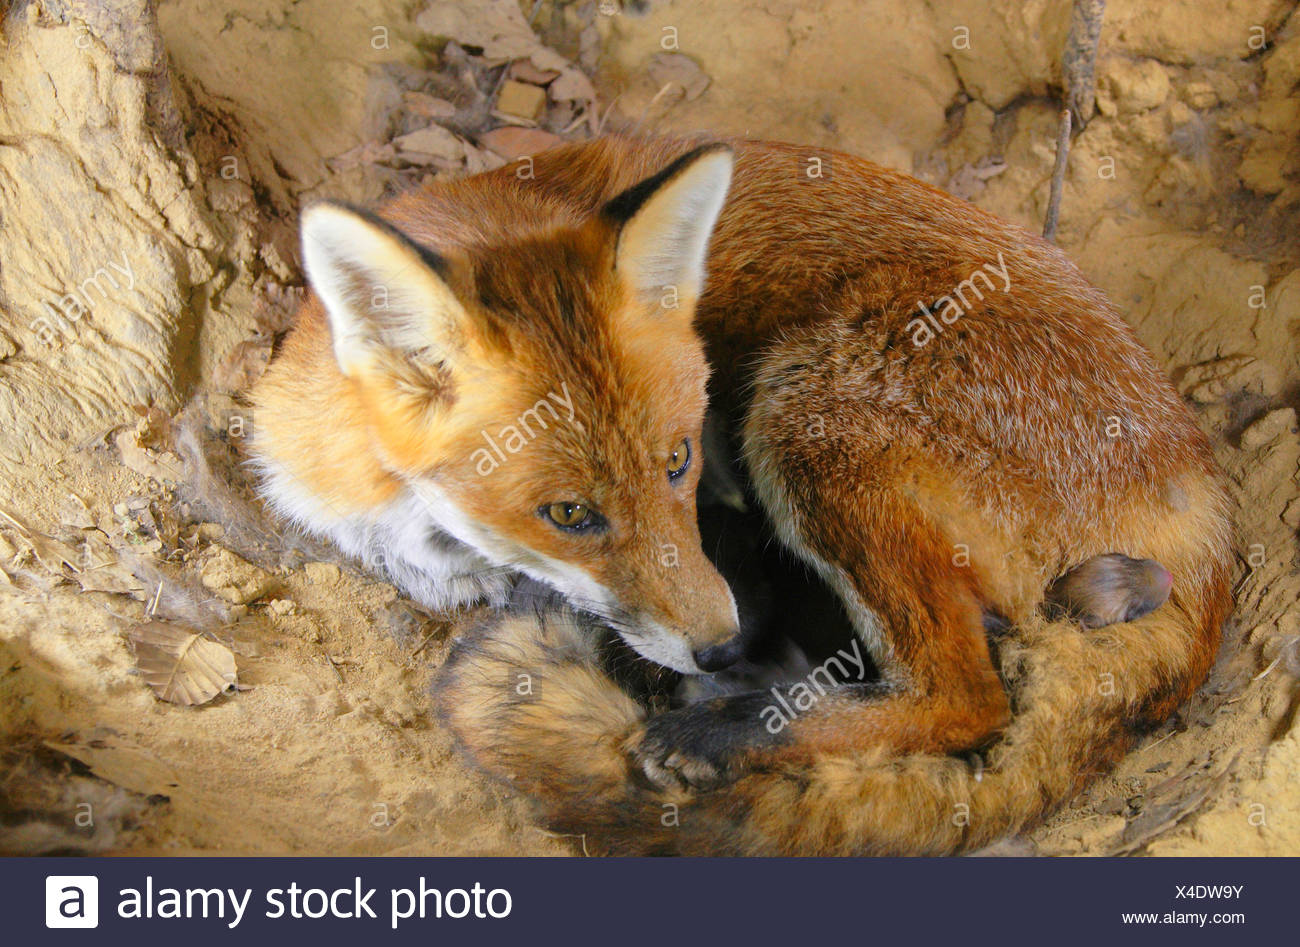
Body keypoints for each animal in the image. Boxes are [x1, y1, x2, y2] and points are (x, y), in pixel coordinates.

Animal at [248, 135, 1232, 858]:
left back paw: (725, 734)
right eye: (569, 514)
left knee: (968, 699)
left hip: (806, 417)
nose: (725, 647)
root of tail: (1202, 503)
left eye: (679, 460)